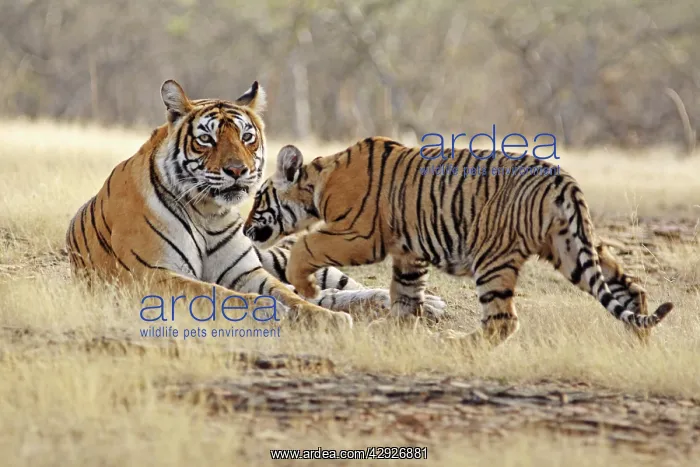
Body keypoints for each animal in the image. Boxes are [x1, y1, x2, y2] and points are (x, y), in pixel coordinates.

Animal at [65, 80, 445, 329]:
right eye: (207, 139)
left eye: (247, 137)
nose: (238, 170)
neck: (207, 213)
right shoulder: (151, 274)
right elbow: (214, 292)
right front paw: (268, 309)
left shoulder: (247, 271)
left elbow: (290, 295)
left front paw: (327, 319)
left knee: (336, 287)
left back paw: (428, 303)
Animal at [243, 139, 674, 347]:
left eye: (258, 199)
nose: (244, 229)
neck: (318, 183)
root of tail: (562, 181)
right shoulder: (408, 252)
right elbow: (406, 295)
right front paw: (392, 329)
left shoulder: (360, 236)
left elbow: (305, 247)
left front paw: (305, 287)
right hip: (573, 251)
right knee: (632, 289)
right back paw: (640, 346)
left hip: (493, 258)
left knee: (503, 322)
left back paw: (453, 343)